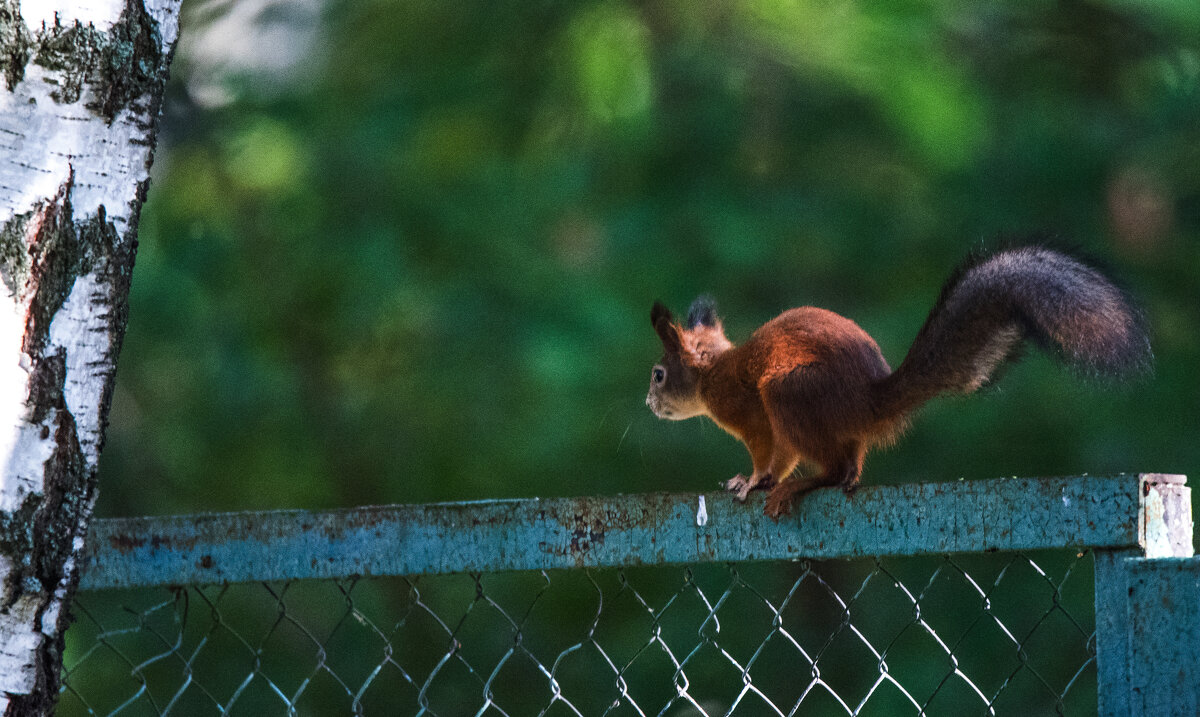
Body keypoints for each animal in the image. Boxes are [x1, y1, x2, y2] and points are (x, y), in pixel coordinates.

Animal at [648, 244, 1152, 520]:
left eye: (658, 375)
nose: (649, 404)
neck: (712, 373)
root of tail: (867, 401)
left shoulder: (751, 413)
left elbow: (768, 453)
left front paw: (754, 480)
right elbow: (783, 457)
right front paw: (756, 480)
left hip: (788, 392)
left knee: (834, 469)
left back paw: (800, 486)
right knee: (848, 468)